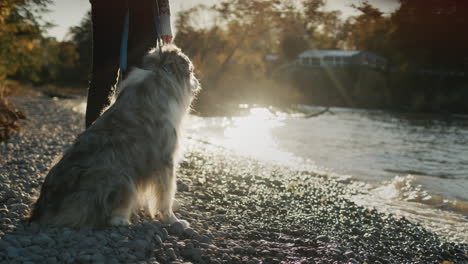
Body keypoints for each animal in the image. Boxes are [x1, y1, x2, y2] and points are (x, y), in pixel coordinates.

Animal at [29, 44, 200, 229]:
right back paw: (122, 219)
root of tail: (41, 211)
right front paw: (173, 220)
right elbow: (165, 194)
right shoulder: (165, 160)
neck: (159, 77)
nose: (198, 82)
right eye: (191, 70)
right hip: (120, 177)